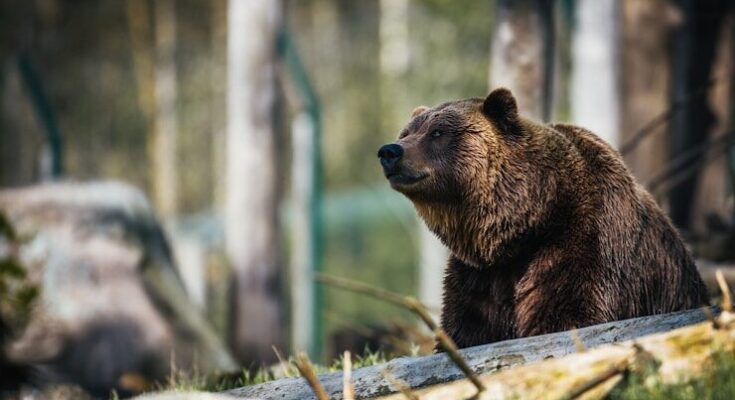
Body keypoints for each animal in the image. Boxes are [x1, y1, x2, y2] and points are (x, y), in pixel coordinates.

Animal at [377, 88, 709, 349]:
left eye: (438, 133)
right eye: (406, 132)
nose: (390, 151)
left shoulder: (583, 243)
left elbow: (568, 314)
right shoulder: (479, 276)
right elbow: (467, 328)